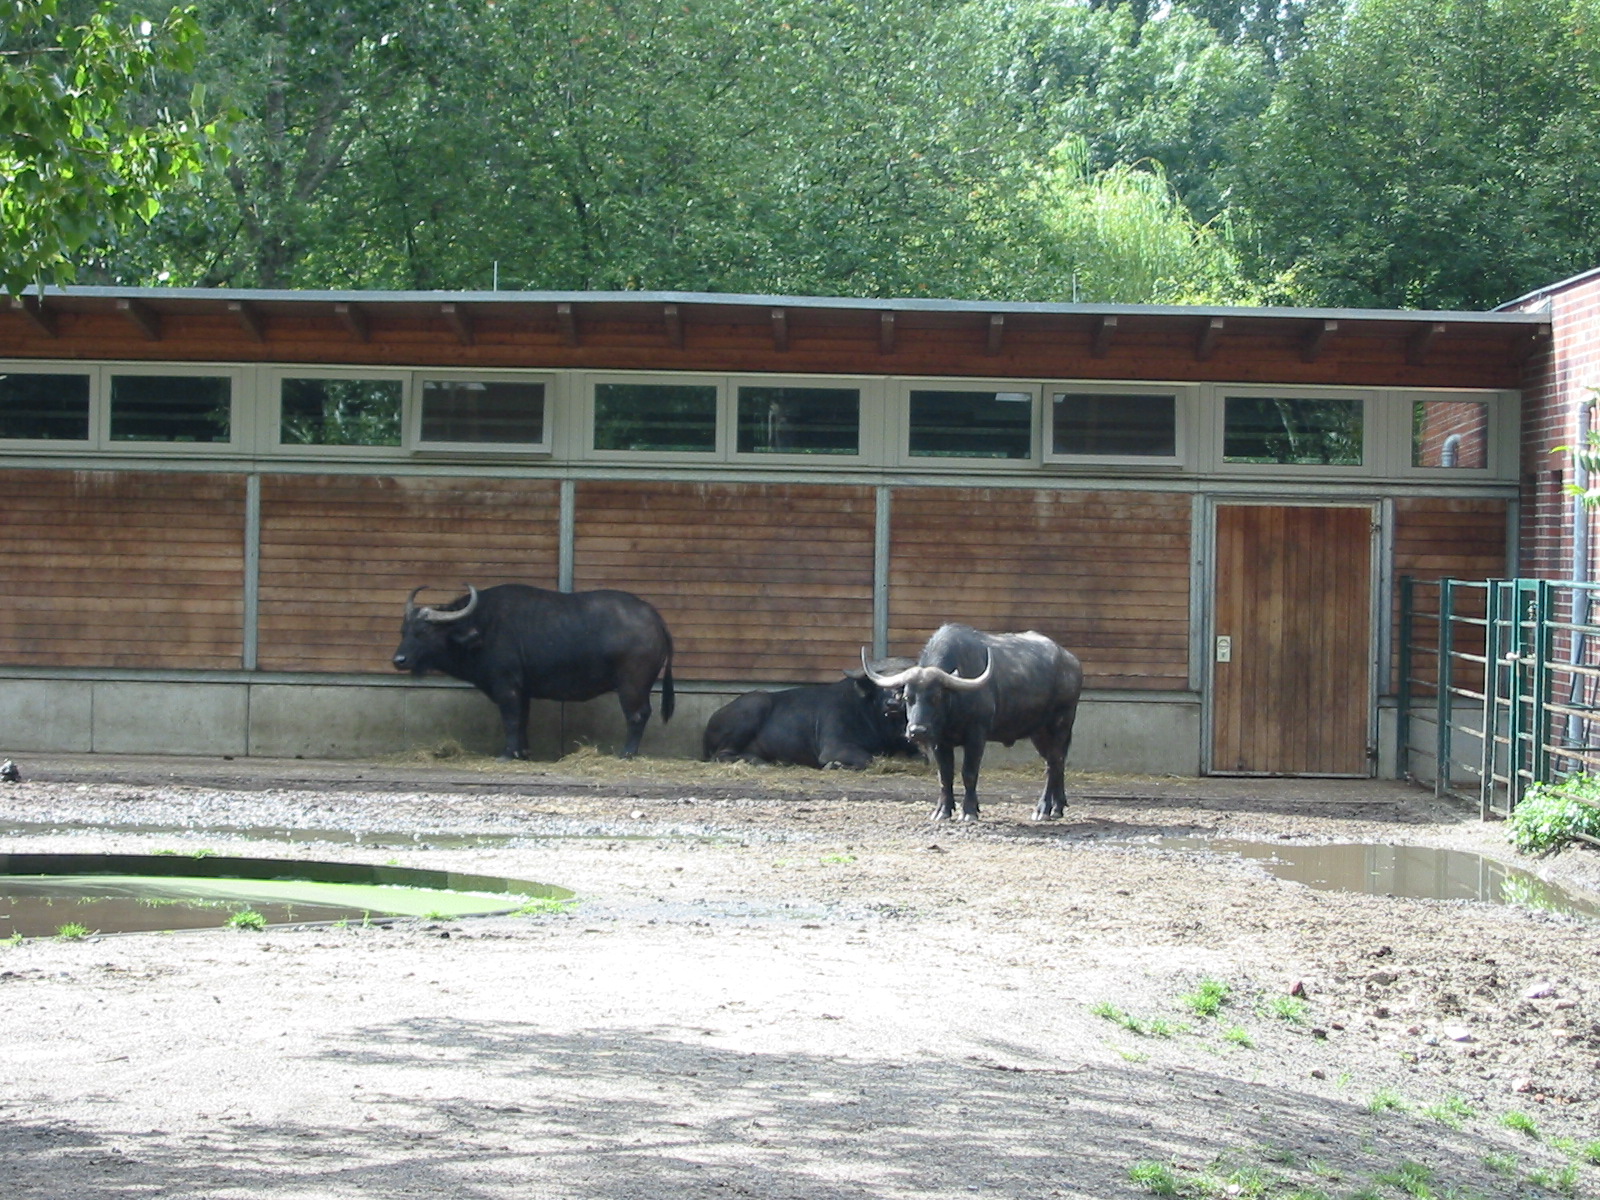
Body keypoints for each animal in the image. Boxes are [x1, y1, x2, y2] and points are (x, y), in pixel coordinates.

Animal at [392, 583, 674, 759]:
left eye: (424, 631)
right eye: (404, 630)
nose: (399, 660)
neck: (482, 627)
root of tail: (654, 618)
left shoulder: (506, 686)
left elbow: (511, 719)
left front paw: (508, 754)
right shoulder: (522, 690)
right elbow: (523, 719)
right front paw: (523, 752)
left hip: (632, 684)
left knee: (637, 715)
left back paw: (627, 753)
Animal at [701, 658, 919, 769]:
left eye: (904, 684)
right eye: (878, 685)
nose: (892, 704)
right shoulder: (833, 747)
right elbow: (868, 758)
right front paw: (835, 765)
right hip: (755, 706)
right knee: (721, 755)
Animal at [864, 623, 1082, 821]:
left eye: (936, 697)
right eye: (907, 697)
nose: (917, 731)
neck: (954, 703)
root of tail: (1071, 662)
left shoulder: (976, 736)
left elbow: (969, 773)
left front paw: (969, 811)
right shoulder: (939, 741)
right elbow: (944, 775)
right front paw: (942, 811)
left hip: (1060, 723)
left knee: (1053, 763)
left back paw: (1043, 809)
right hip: (1038, 732)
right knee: (1057, 762)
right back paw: (1057, 806)